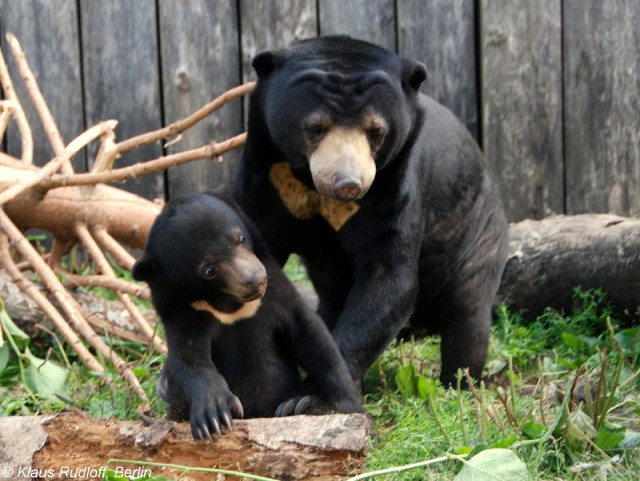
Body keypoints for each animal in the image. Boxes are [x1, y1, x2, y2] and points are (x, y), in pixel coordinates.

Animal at [235, 36, 510, 386]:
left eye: (375, 131)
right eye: (316, 127)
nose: (348, 184)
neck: (312, 188)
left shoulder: (395, 186)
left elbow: (389, 277)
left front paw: (313, 392)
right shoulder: (264, 178)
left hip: (478, 236)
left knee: (468, 313)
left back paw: (459, 382)